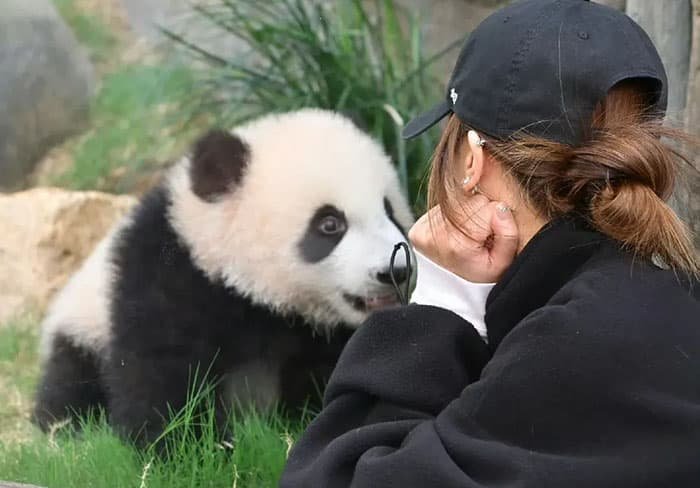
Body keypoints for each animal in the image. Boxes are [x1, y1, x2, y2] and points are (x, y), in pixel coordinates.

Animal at [33, 109, 413, 444]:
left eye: (389, 210)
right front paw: (190, 447)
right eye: (329, 224)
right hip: (84, 330)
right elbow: (160, 375)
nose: (394, 271)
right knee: (70, 388)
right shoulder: (166, 278)